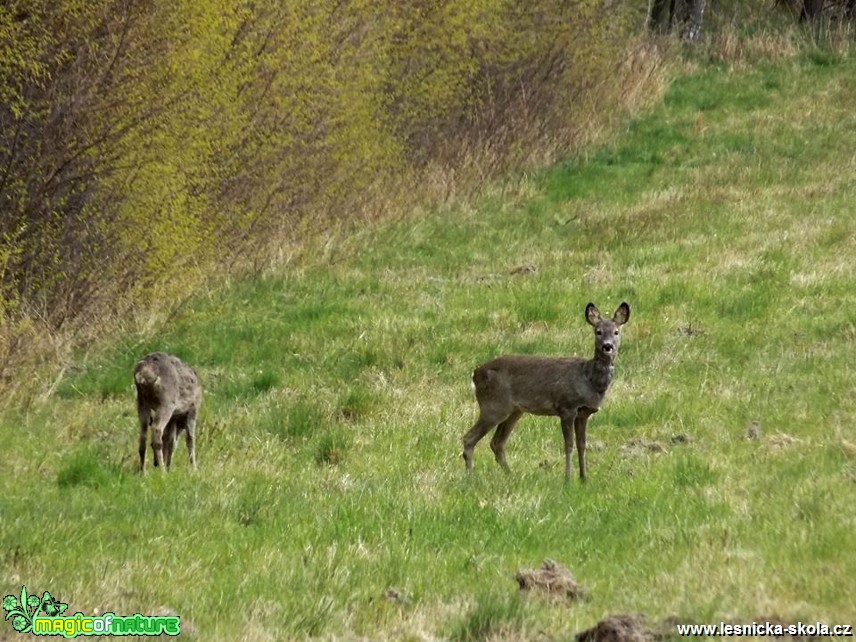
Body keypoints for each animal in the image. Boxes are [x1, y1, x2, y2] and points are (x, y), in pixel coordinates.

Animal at [462, 302, 628, 478]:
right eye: (598, 331)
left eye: (616, 332)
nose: (607, 346)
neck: (588, 380)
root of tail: (475, 374)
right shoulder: (566, 407)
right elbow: (568, 445)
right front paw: (568, 478)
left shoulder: (584, 412)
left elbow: (582, 445)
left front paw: (584, 478)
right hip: (494, 405)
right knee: (469, 438)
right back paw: (470, 477)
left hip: (514, 411)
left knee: (497, 443)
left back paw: (510, 475)